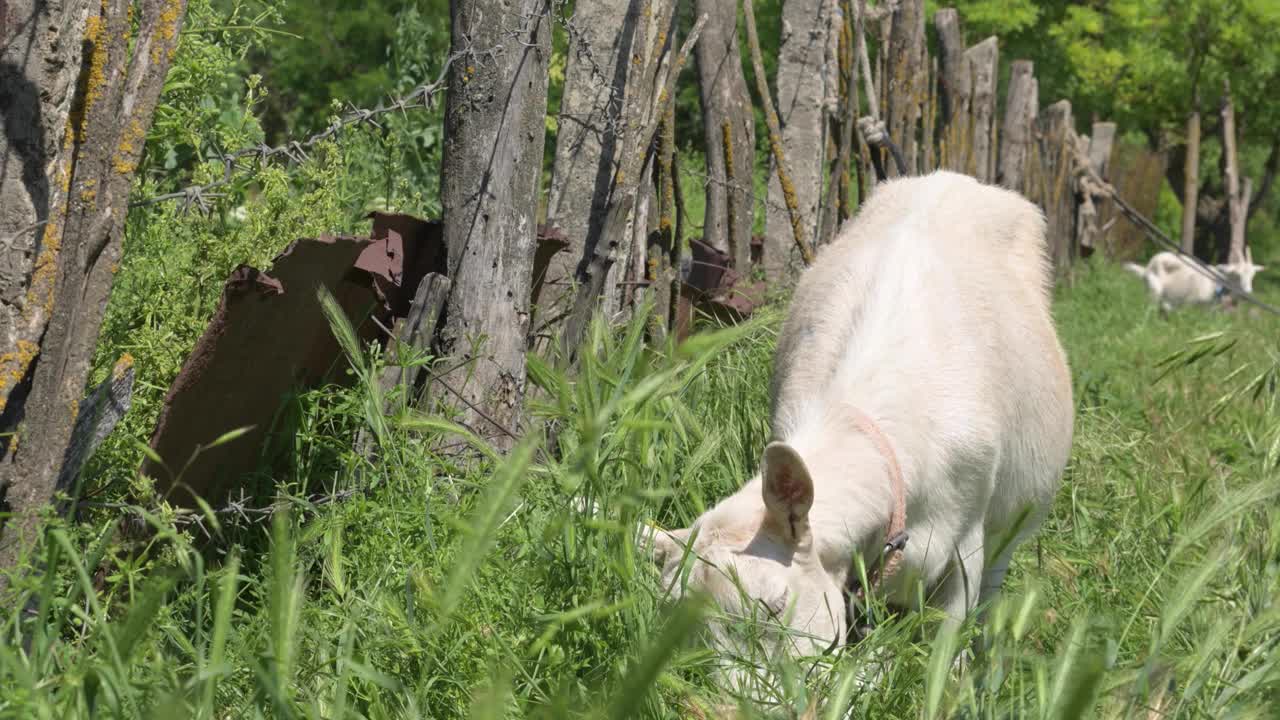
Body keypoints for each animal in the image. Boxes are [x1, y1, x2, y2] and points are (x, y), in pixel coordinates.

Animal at [645, 167, 1075, 676]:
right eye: (691, 639)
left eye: (774, 606)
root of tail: (951, 178)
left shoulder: (965, 538)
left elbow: (949, 631)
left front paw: (949, 678)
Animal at [1126, 248, 1264, 312]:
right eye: (1237, 274)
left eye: (1253, 275)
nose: (1247, 293)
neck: (1215, 282)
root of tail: (1146, 268)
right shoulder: (1189, 302)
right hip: (1155, 290)